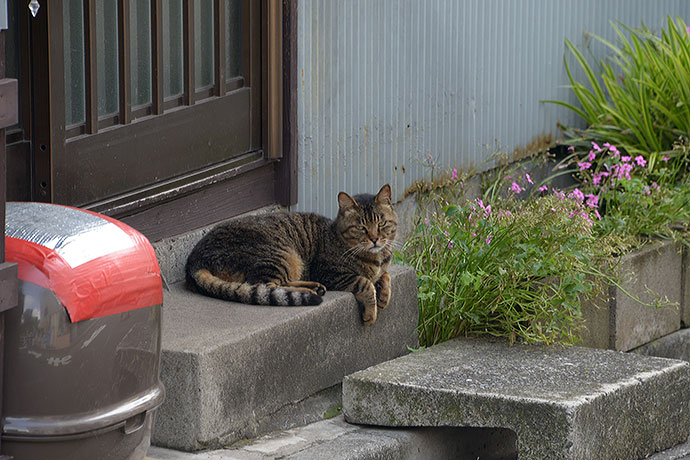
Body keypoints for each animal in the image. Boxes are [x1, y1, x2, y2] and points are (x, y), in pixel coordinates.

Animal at [184, 183, 398, 324]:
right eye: (361, 227)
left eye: (381, 223)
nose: (375, 239)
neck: (377, 258)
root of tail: (194, 261)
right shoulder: (331, 273)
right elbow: (365, 282)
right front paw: (371, 313)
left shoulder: (381, 268)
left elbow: (386, 276)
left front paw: (384, 295)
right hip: (283, 254)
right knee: (265, 285)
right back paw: (310, 292)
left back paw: (314, 288)